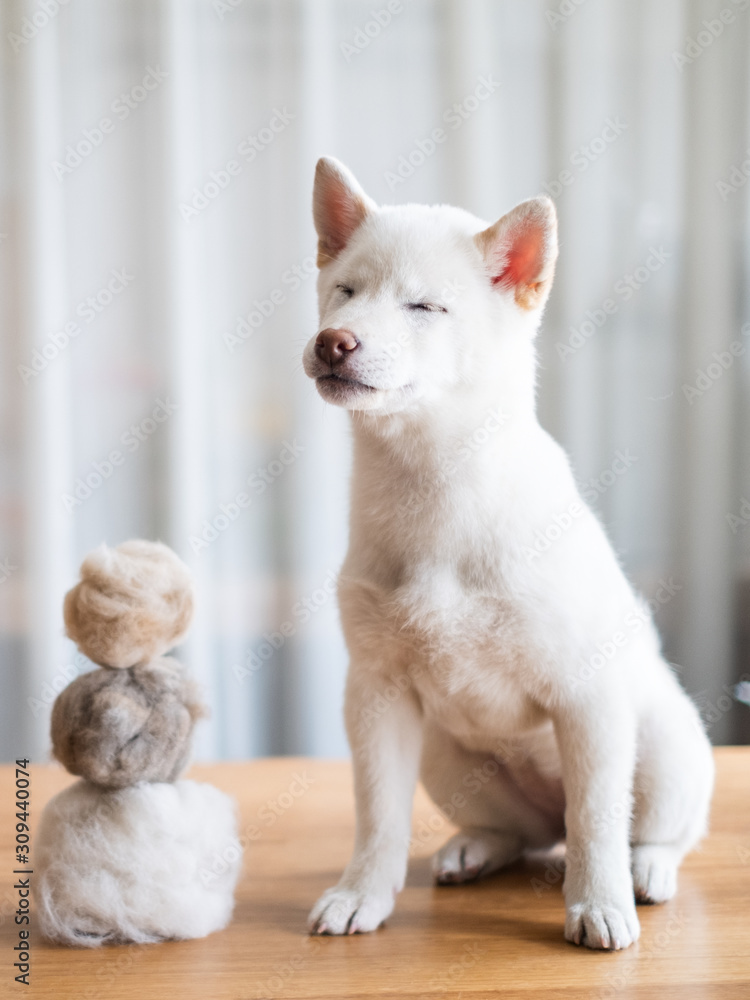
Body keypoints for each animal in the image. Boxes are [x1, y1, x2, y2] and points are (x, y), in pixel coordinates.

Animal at [302, 156, 714, 950]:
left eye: (425, 307)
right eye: (346, 291)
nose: (335, 340)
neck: (431, 491)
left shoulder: (588, 695)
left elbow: (596, 821)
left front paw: (597, 906)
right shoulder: (376, 691)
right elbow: (378, 816)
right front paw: (361, 894)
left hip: (666, 744)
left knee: (637, 829)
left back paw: (645, 870)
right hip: (444, 753)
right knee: (525, 835)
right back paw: (475, 848)